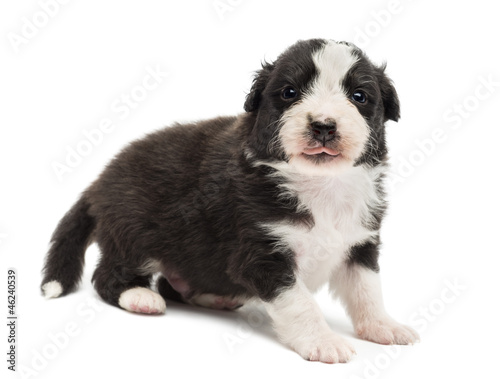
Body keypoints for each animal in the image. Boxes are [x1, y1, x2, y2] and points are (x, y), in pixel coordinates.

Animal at [42, 39, 418, 366]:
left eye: (359, 96)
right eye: (289, 92)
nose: (323, 126)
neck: (320, 185)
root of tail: (99, 181)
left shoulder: (360, 243)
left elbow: (367, 290)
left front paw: (383, 326)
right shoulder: (261, 254)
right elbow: (300, 302)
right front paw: (322, 340)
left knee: (173, 282)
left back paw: (214, 295)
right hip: (132, 234)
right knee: (107, 276)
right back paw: (140, 297)